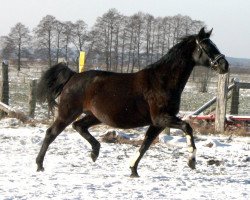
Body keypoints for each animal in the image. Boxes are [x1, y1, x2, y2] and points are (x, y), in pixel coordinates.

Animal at [35, 27, 229, 177]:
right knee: (51, 133)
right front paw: (192, 161)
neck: (162, 81)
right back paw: (39, 165)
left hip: (95, 116)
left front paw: (133, 170)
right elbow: (187, 127)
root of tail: (73, 75)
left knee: (79, 126)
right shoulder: (162, 118)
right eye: (206, 46)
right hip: (68, 112)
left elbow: (145, 145)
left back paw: (95, 152)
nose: (224, 65)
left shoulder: (157, 123)